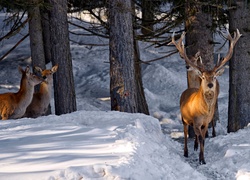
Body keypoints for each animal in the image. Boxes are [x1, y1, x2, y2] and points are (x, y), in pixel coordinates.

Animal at [169, 29, 241, 165]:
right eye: (203, 77)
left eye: (214, 76)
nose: (210, 85)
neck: (203, 112)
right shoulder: (196, 121)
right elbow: (201, 138)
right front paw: (201, 159)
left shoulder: (205, 123)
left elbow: (203, 138)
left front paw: (202, 158)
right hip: (183, 118)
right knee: (185, 133)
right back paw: (186, 152)